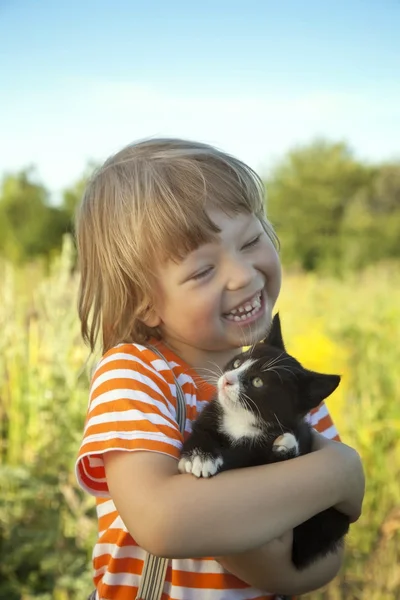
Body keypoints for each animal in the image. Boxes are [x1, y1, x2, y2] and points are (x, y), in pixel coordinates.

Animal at [178, 312, 350, 568]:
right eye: (237, 363)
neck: (241, 421)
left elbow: (250, 457)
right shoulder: (211, 414)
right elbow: (203, 431)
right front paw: (199, 456)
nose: (227, 380)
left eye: (258, 382)